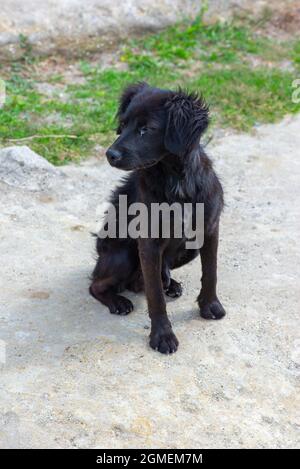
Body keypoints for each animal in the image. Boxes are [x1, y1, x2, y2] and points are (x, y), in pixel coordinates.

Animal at [90, 82, 226, 352]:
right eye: (123, 124)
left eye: (146, 129)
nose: (110, 154)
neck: (177, 182)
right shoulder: (148, 243)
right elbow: (155, 297)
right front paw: (162, 336)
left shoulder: (209, 230)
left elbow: (211, 272)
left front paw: (210, 306)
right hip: (122, 255)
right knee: (96, 284)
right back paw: (118, 301)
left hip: (189, 250)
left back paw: (170, 283)